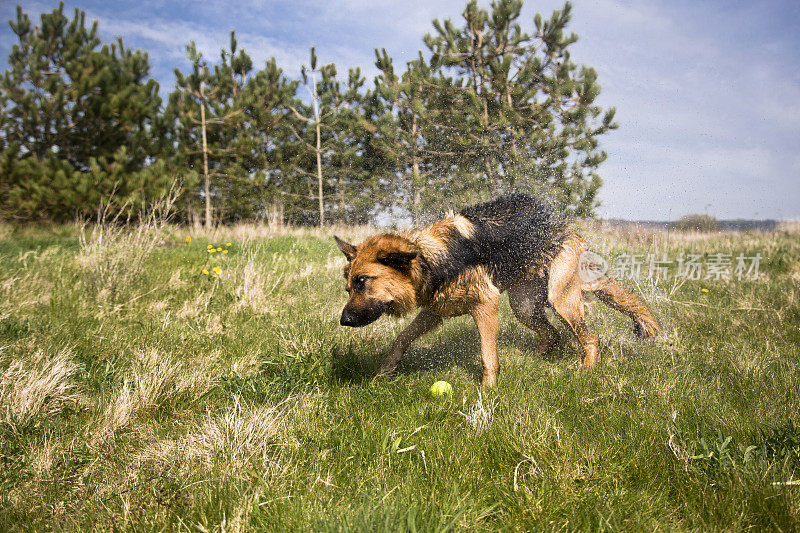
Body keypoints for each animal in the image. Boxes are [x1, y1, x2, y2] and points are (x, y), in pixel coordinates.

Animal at [334, 193, 660, 384]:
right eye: (348, 287)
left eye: (363, 281)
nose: (344, 321)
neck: (427, 259)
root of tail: (562, 224)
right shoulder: (435, 312)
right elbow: (401, 339)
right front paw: (383, 374)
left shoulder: (485, 304)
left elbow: (488, 356)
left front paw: (488, 391)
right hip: (524, 306)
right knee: (552, 334)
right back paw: (533, 360)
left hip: (561, 297)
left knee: (590, 338)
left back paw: (586, 370)